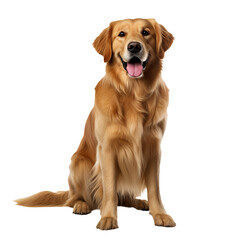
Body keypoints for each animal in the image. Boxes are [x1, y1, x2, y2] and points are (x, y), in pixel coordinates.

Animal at [15, 18, 175, 229]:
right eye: (121, 34)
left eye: (146, 32)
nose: (134, 46)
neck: (133, 93)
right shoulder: (107, 149)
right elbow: (109, 189)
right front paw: (108, 218)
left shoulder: (154, 147)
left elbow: (154, 188)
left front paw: (160, 214)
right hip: (79, 163)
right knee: (77, 198)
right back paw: (81, 205)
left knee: (124, 198)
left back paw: (139, 202)